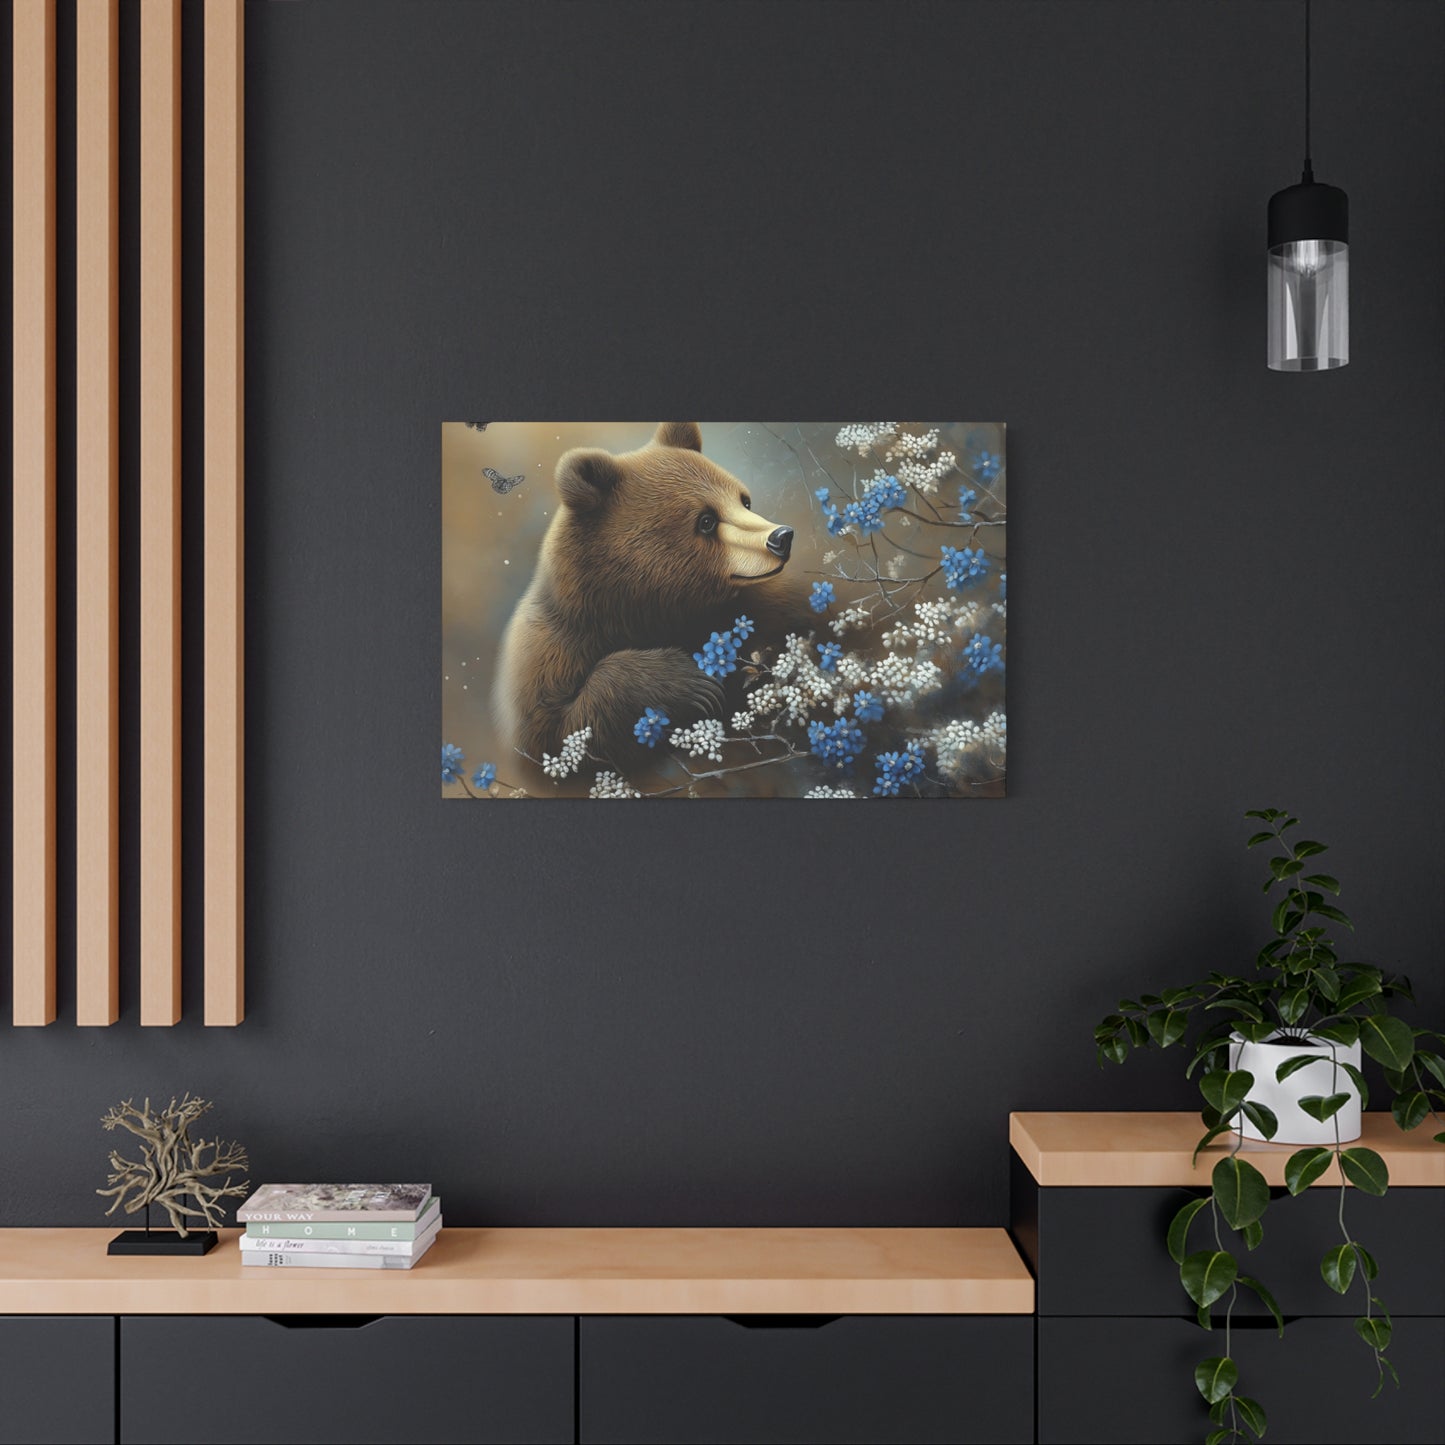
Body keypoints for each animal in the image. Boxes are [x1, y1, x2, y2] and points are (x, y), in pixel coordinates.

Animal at [493, 422, 811, 769]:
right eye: (706, 521)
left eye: (744, 501)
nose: (781, 537)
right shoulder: (549, 652)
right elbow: (556, 736)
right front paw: (691, 681)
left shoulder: (768, 607)